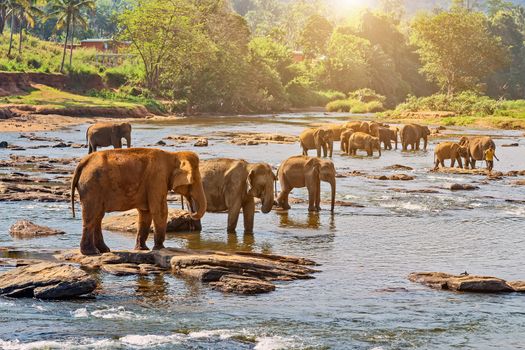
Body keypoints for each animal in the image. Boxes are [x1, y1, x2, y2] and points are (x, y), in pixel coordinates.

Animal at [70, 148, 206, 254]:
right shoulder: (157, 179)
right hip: (92, 186)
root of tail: (83, 163)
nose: (191, 210)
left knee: (98, 216)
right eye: (193, 181)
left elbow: (145, 213)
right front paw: (160, 248)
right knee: (92, 215)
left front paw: (143, 249)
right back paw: (91, 252)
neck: (173, 155)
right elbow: (160, 210)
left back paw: (104, 250)